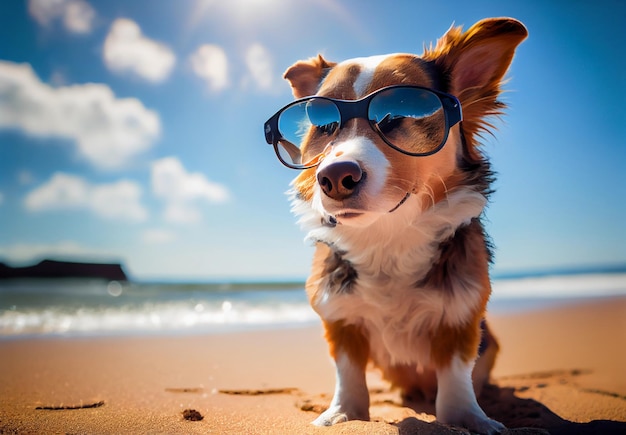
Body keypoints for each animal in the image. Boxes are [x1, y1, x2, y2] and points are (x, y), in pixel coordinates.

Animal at [260, 17, 524, 435]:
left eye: (395, 116)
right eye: (325, 125)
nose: (334, 177)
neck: (387, 235)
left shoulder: (462, 316)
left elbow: (456, 379)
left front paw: (469, 419)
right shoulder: (340, 316)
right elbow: (348, 374)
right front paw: (342, 414)